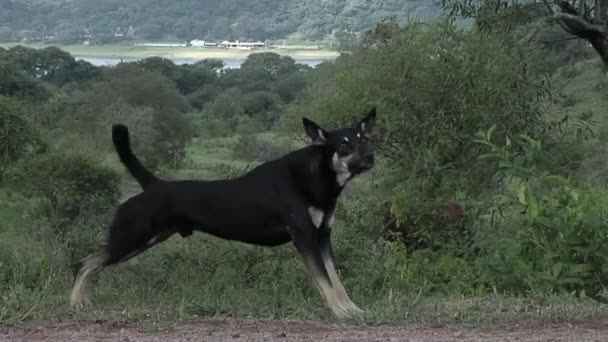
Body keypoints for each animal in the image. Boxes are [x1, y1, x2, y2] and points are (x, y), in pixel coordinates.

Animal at [70, 109, 376, 318]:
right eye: (344, 144)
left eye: (366, 139)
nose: (371, 156)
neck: (316, 177)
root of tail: (153, 185)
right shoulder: (304, 238)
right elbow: (324, 280)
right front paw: (340, 312)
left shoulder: (323, 237)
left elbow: (336, 279)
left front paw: (352, 309)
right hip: (131, 237)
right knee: (85, 263)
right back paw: (75, 302)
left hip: (144, 239)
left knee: (90, 263)